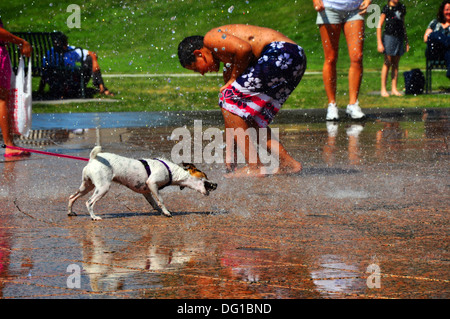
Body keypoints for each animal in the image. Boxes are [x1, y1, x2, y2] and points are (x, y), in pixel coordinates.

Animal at [67, 147, 218, 220]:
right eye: (205, 176)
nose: (216, 184)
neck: (172, 171)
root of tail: (93, 159)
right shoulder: (152, 183)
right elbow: (161, 200)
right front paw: (167, 212)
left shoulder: (146, 191)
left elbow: (155, 203)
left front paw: (162, 212)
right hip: (103, 187)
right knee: (89, 202)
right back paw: (94, 217)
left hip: (87, 186)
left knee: (72, 197)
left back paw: (70, 212)